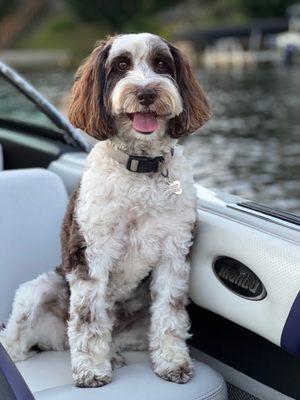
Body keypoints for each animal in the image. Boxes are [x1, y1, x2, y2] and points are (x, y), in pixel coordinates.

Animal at [0, 32, 211, 390]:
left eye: (161, 64)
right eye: (121, 66)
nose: (146, 92)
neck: (141, 167)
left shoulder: (174, 251)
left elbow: (171, 314)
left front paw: (172, 362)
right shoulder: (91, 253)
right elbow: (87, 319)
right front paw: (91, 371)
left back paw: (115, 354)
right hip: (37, 292)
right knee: (18, 341)